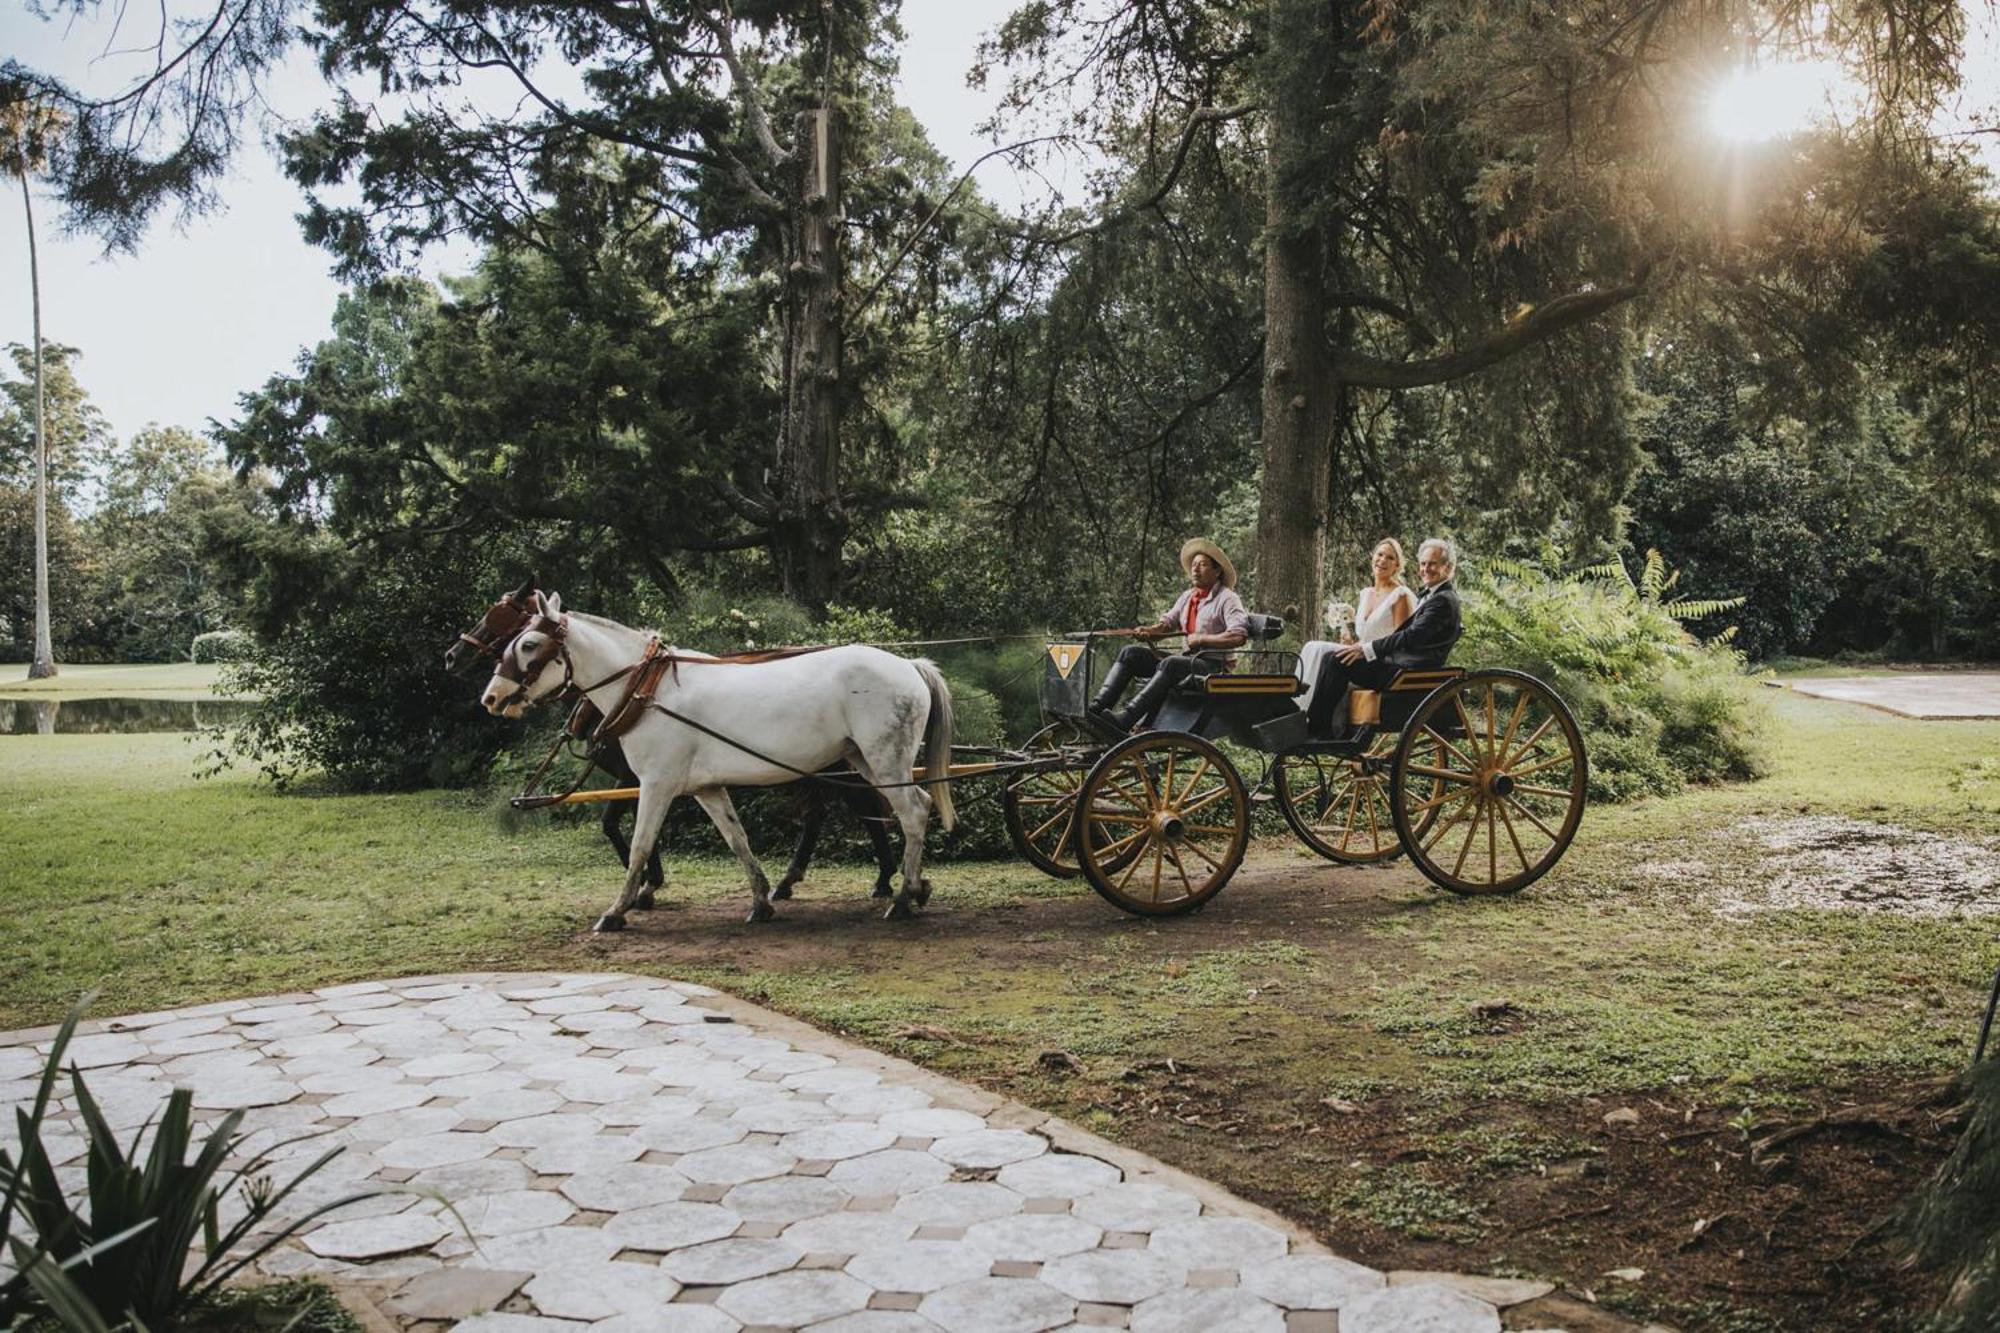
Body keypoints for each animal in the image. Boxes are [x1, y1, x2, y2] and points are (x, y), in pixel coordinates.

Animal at [480, 596, 956, 928]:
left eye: (528, 644)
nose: (492, 697)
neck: (648, 691)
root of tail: (908, 665)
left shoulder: (656, 784)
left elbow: (639, 845)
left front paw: (618, 909)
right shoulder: (705, 788)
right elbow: (737, 838)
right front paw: (760, 901)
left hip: (883, 758)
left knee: (913, 813)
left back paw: (903, 897)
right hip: (863, 760)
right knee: (904, 808)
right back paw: (912, 888)